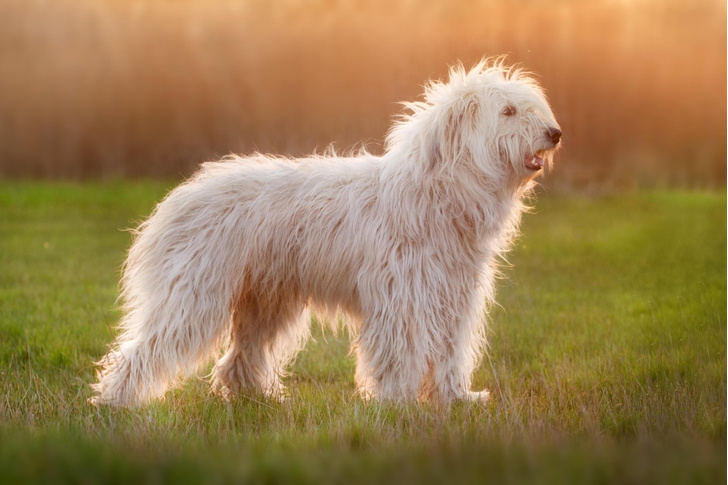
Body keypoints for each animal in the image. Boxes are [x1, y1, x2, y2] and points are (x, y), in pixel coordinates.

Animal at [88, 58, 560, 406]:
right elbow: (402, 351)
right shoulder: (402, 298)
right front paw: (399, 403)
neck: (438, 191)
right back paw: (116, 402)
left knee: (240, 357)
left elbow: (450, 352)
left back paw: (257, 399)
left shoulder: (453, 298)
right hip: (194, 296)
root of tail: (178, 197)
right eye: (508, 111)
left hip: (266, 301)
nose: (555, 133)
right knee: (143, 350)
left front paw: (456, 399)